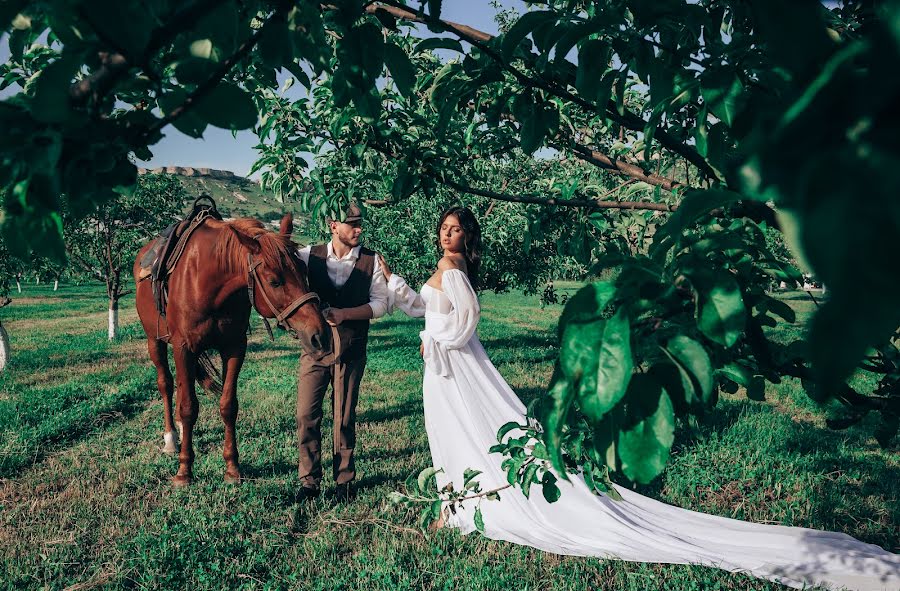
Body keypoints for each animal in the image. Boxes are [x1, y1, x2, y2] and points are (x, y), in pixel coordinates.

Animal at [134, 213, 330, 486]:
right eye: (274, 281)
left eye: (305, 271)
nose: (319, 334)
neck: (207, 281)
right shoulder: (183, 348)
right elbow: (188, 407)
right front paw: (184, 470)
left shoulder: (234, 347)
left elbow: (228, 405)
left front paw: (232, 467)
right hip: (155, 341)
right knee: (166, 384)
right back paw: (171, 438)